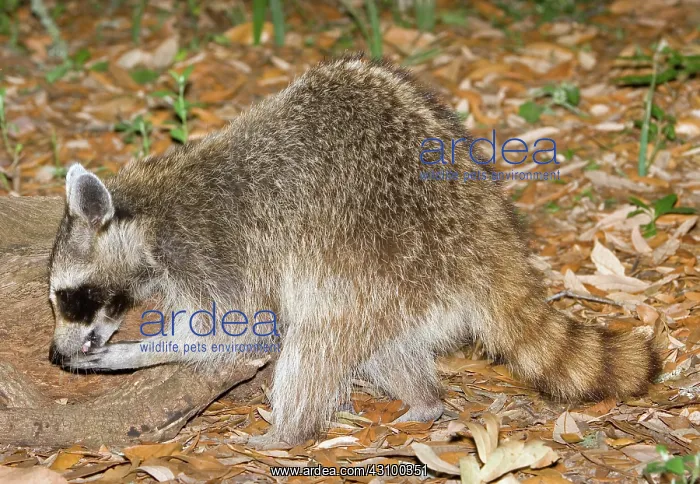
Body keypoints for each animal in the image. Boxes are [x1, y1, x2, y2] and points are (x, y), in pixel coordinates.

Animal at [48, 54, 661, 445]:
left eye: (71, 297)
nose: (56, 354)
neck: (150, 210)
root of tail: (487, 229)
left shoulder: (214, 250)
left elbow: (246, 334)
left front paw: (133, 352)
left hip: (380, 252)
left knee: (320, 333)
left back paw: (287, 431)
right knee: (377, 341)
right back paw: (424, 398)